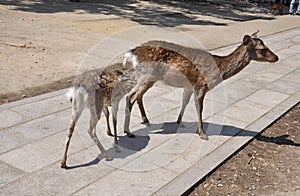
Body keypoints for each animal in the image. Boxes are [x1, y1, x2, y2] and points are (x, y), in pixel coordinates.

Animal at [122, 31, 278, 139]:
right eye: (262, 49)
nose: (276, 57)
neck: (219, 68)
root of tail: (133, 52)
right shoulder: (201, 85)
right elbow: (199, 108)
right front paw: (202, 134)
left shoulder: (189, 87)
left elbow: (184, 102)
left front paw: (179, 122)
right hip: (147, 76)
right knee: (131, 96)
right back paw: (128, 131)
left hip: (149, 78)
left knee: (137, 96)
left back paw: (145, 120)